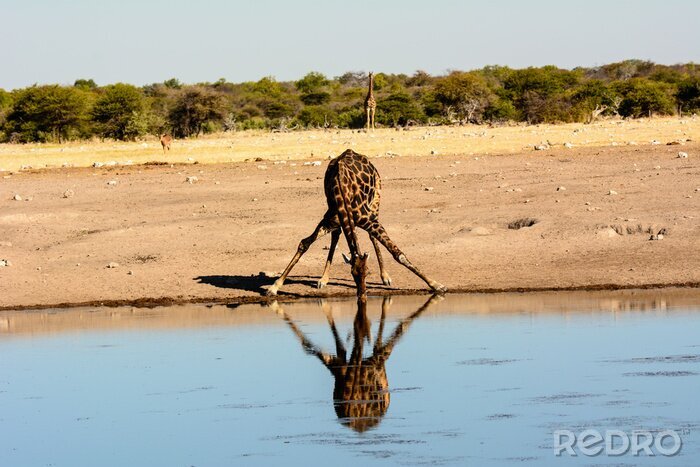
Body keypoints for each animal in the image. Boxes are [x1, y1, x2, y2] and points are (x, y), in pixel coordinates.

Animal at [265, 149, 446, 297]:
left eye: (368, 272)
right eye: (352, 273)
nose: (362, 295)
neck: (341, 188)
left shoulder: (368, 220)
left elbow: (398, 254)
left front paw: (437, 285)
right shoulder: (331, 218)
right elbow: (304, 243)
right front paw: (274, 286)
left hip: (376, 200)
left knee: (371, 237)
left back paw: (385, 277)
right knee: (337, 235)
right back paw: (324, 279)